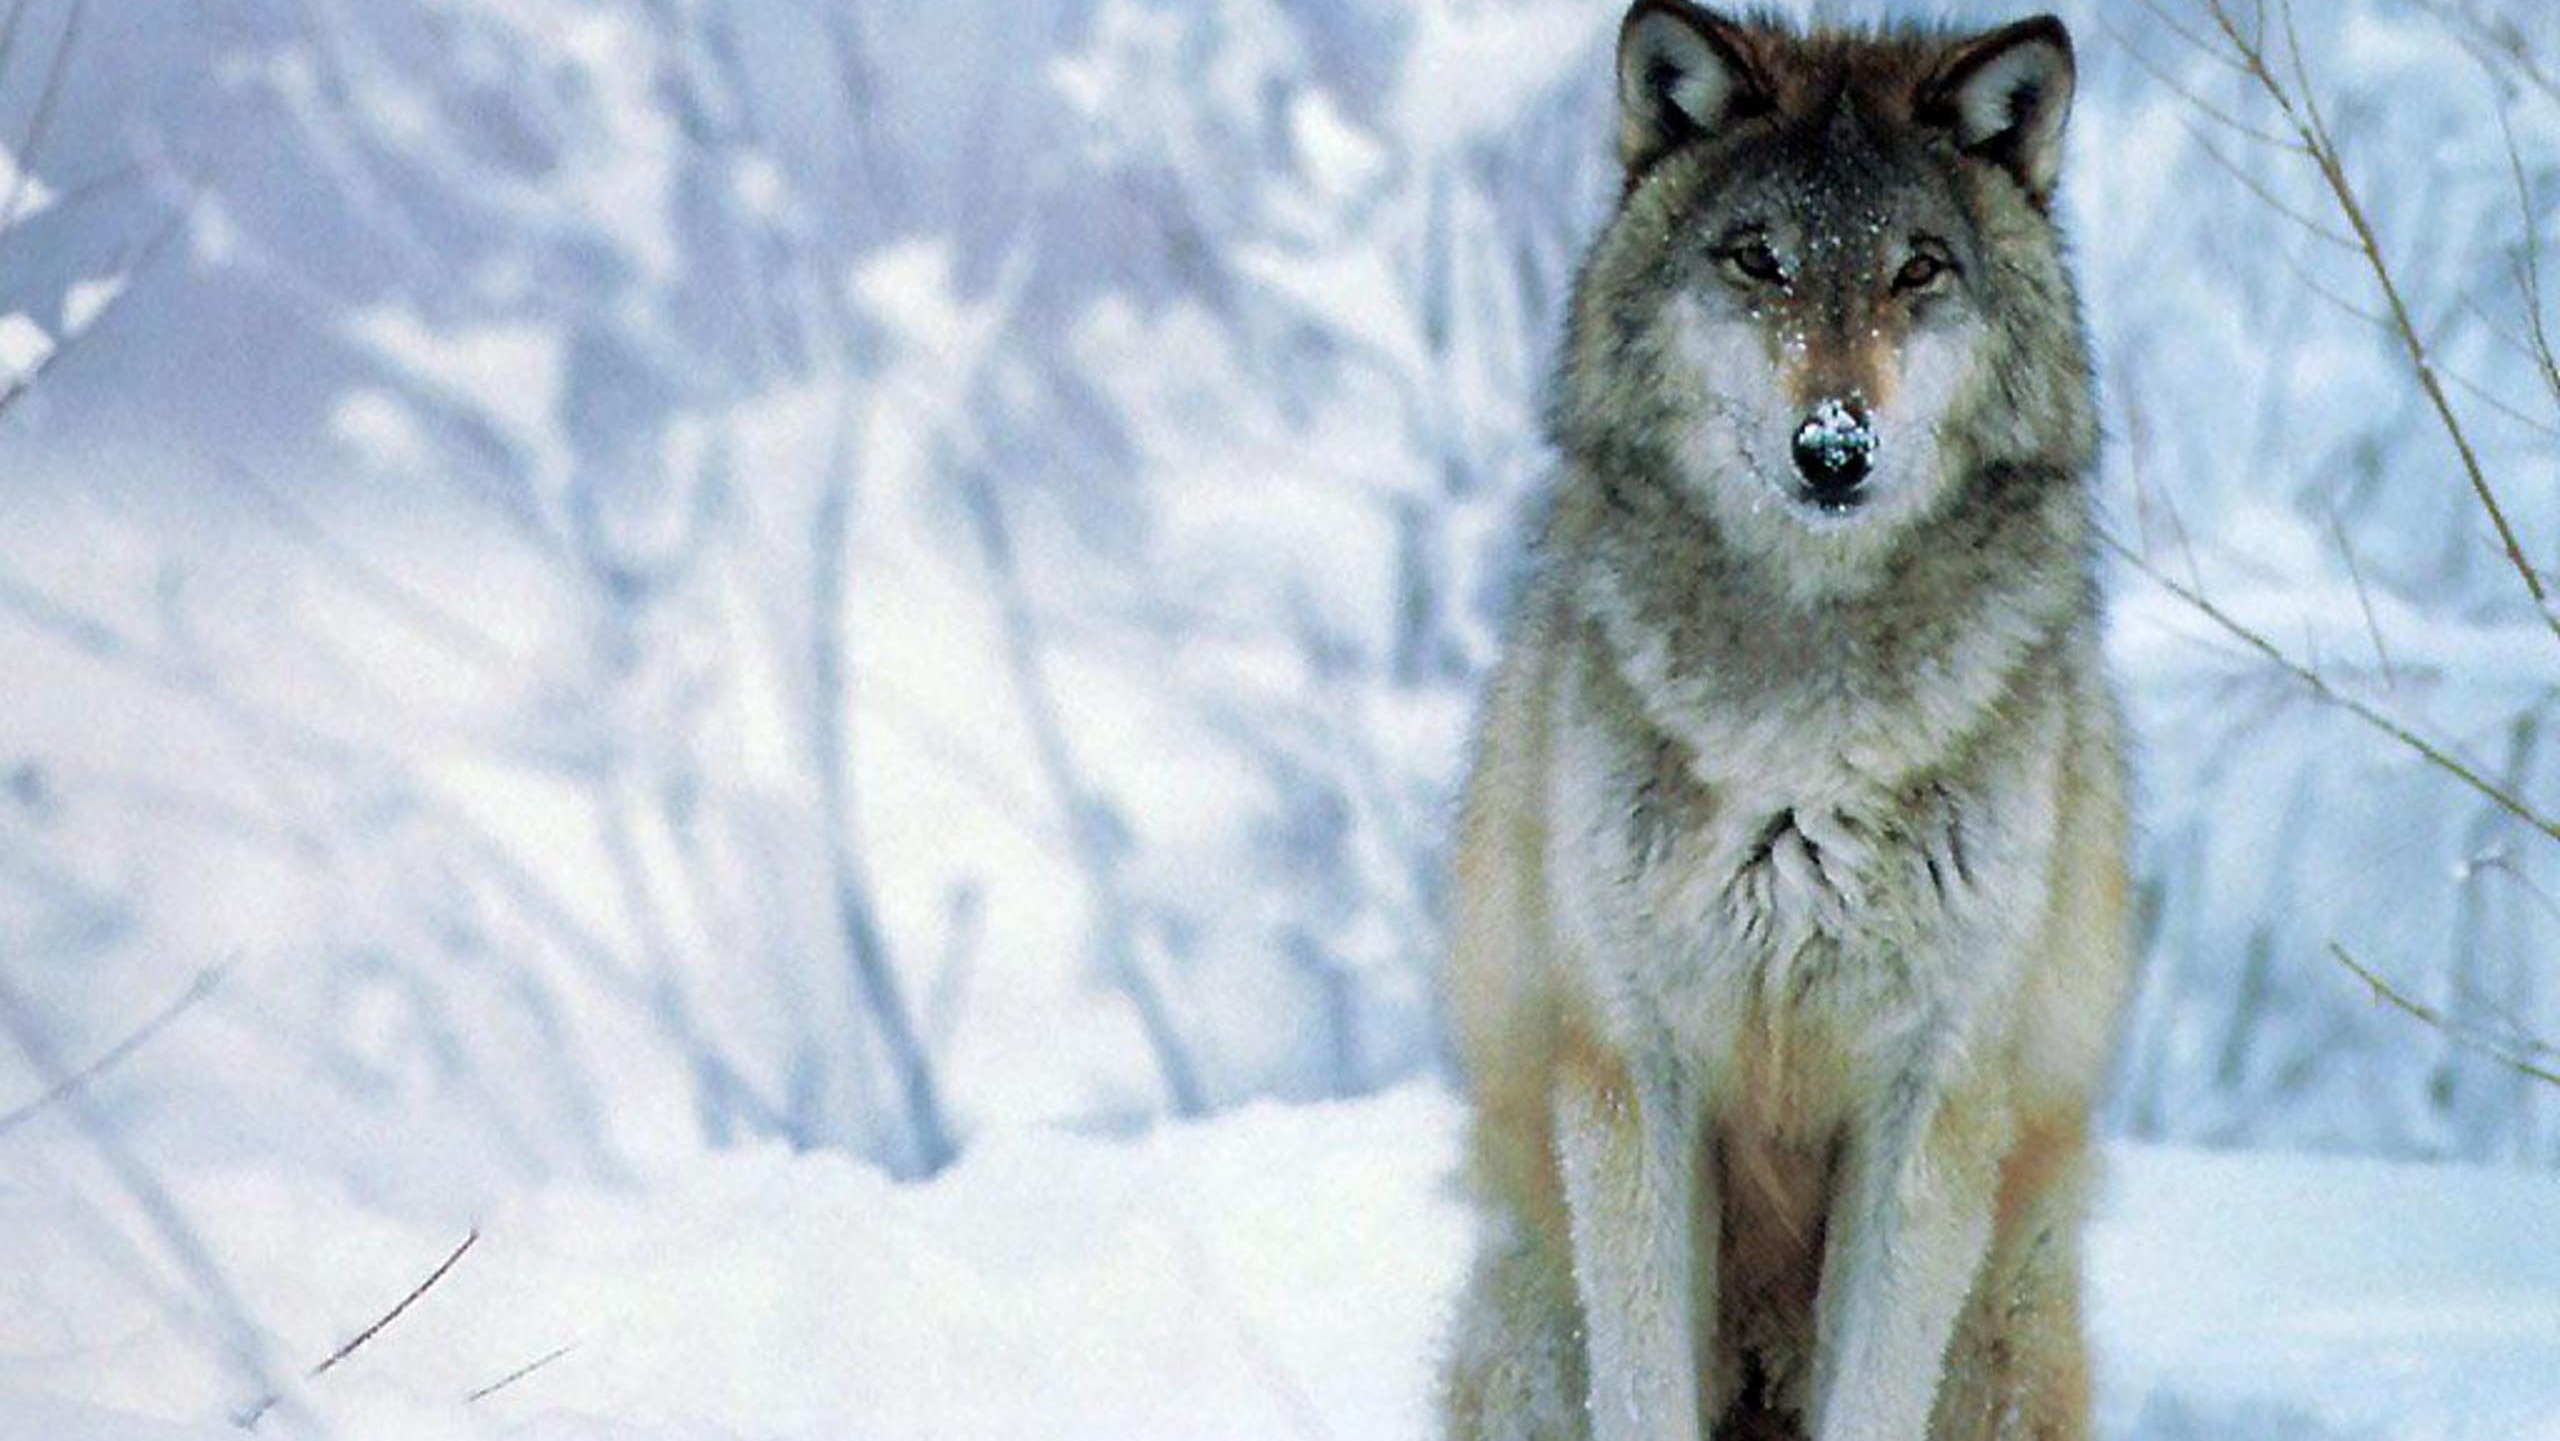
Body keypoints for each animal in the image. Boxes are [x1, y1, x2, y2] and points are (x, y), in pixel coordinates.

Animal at [1436, 6, 2130, 1441]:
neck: (1804, 742)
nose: (1834, 447)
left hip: (2008, 1331)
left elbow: (1875, 1388)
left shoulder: (1929, 1098)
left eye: (1918, 269)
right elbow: (1645, 1385)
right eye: (1759, 260)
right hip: (1529, 1311)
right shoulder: (1631, 1072)